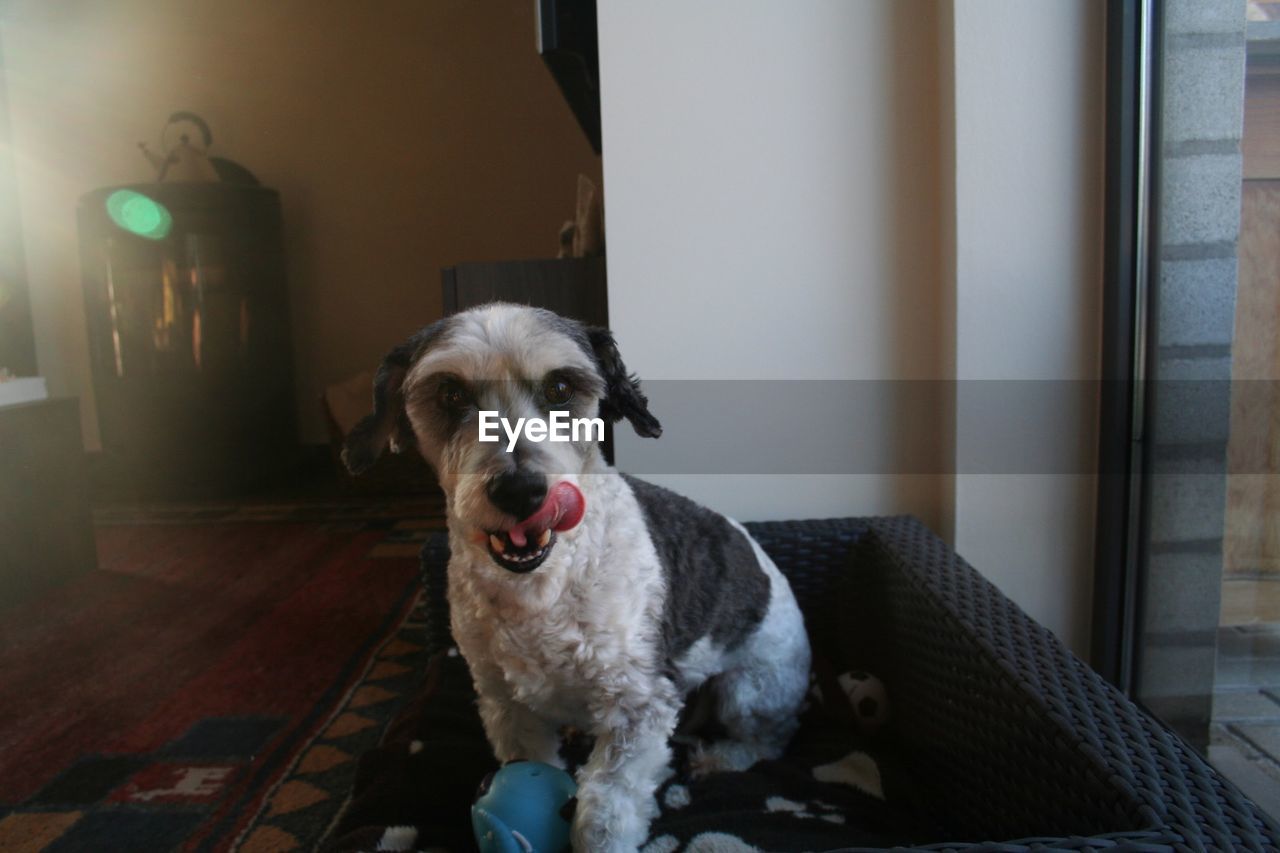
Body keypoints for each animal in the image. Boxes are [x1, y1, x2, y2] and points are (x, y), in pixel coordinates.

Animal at [343, 302, 808, 845]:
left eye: (560, 387)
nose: (520, 490)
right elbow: (531, 760)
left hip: (748, 691)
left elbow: (605, 814)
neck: (538, 592)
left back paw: (720, 758)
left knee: (769, 740)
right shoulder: (505, 703)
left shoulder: (639, 702)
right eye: (450, 393)